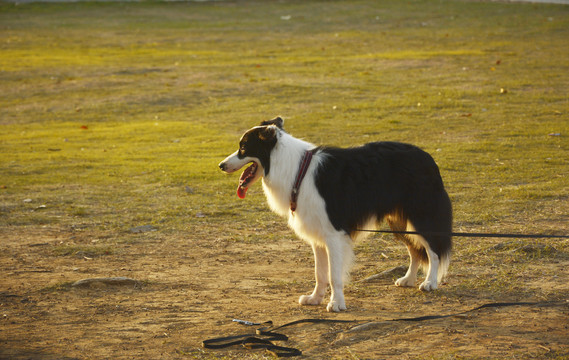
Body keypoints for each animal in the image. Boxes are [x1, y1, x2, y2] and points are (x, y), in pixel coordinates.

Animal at [219, 118, 452, 312]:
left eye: (243, 148)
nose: (221, 165)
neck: (296, 171)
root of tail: (428, 158)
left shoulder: (334, 234)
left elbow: (333, 275)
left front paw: (336, 303)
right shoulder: (317, 234)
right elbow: (319, 273)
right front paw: (315, 298)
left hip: (421, 216)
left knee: (433, 249)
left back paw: (430, 282)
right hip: (399, 221)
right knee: (415, 250)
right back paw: (408, 279)